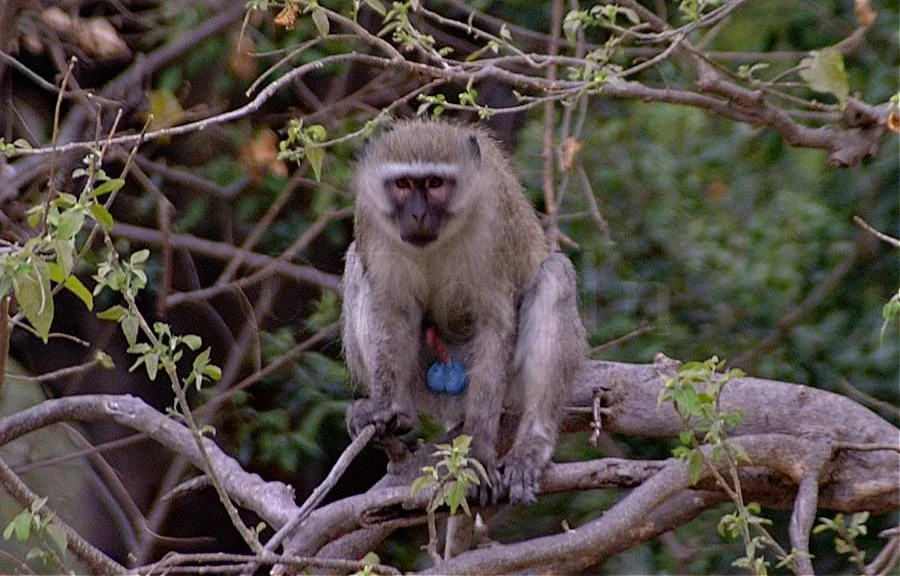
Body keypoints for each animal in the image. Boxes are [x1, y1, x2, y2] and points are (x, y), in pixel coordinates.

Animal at [342, 119, 588, 505]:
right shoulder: (370, 215)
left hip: (507, 387)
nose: (418, 215)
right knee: (356, 261)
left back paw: (532, 446)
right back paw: (402, 411)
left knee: (555, 275)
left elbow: (494, 324)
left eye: (435, 184)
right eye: (402, 185)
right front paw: (383, 404)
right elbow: (393, 309)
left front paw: (479, 454)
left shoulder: (495, 223)